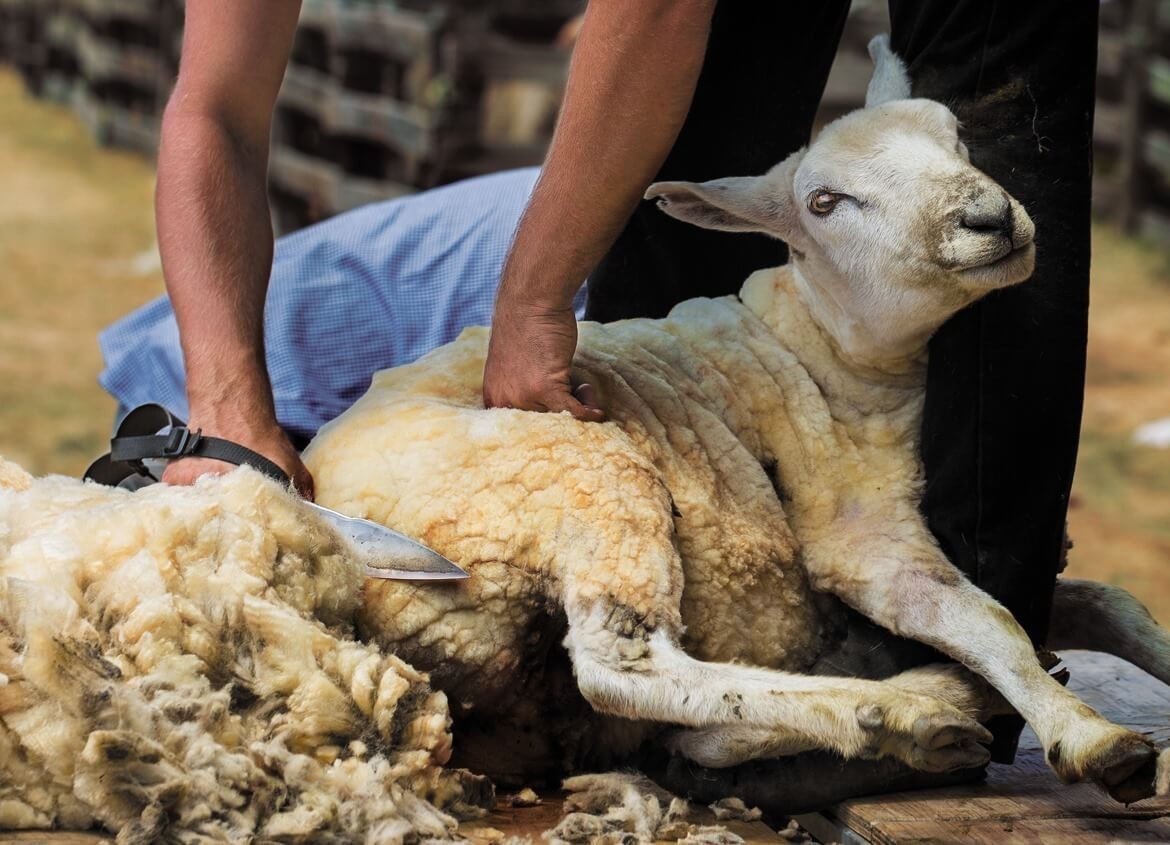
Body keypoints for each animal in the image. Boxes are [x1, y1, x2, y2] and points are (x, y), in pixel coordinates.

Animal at [301, 37, 1170, 805]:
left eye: (956, 138)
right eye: (824, 203)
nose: (989, 216)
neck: (826, 349)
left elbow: (1108, 602)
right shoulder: (860, 539)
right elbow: (990, 617)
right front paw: (1093, 738)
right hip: (581, 477)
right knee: (632, 674)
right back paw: (905, 707)